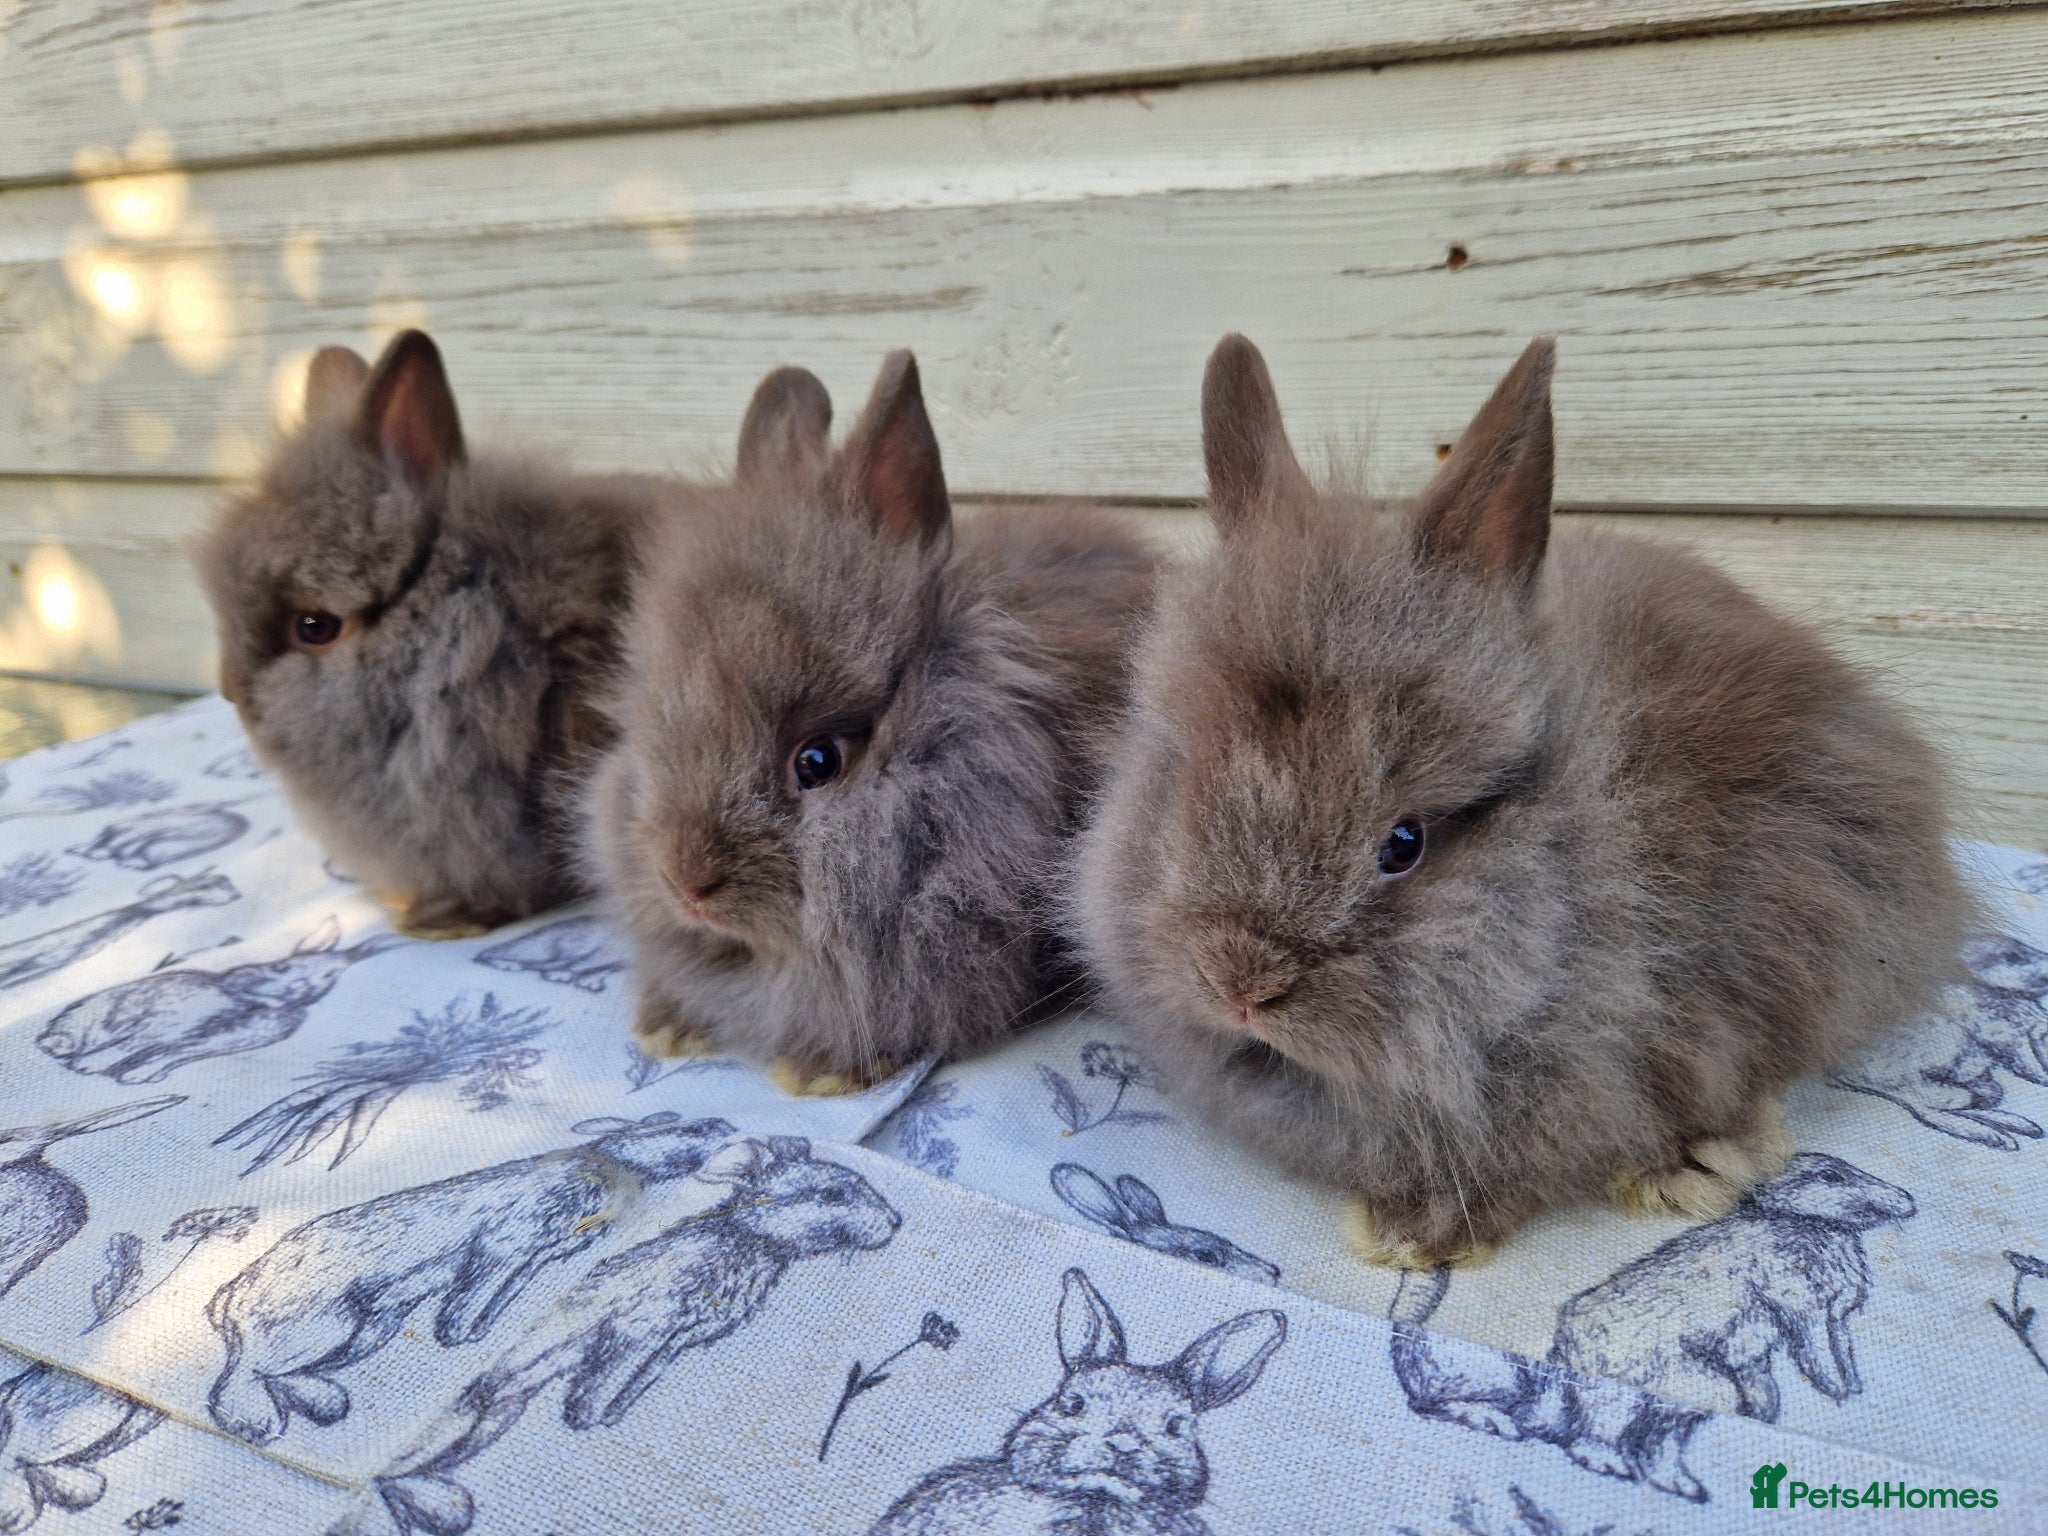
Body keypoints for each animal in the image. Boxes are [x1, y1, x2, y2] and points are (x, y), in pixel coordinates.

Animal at [205, 1112, 736, 1444]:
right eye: (690, 1126)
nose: (727, 1125)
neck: (614, 1163)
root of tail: (228, 1295)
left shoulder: (534, 1258)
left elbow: (498, 1297)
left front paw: (473, 1333)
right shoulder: (505, 1243)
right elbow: (476, 1291)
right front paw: (458, 1334)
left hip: (368, 1331)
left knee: (279, 1372)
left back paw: (325, 1403)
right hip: (317, 1325)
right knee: (243, 1374)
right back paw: (258, 1424)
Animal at [376, 1136, 900, 1536]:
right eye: (830, 1196)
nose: (896, 1222)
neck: (751, 1242)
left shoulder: (675, 1343)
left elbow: (636, 1385)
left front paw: (608, 1419)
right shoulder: (639, 1327)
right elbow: (601, 1385)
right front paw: (586, 1419)